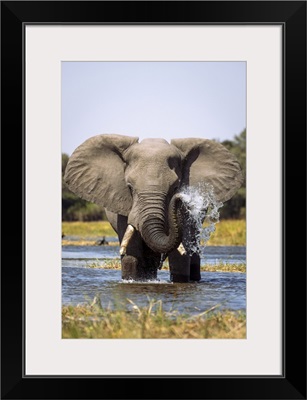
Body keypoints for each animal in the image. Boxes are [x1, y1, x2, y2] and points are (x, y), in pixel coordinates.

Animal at [64, 134, 243, 282]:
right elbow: (132, 250)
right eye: (129, 187)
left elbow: (180, 255)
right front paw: (133, 280)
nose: (182, 197)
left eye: (175, 186)